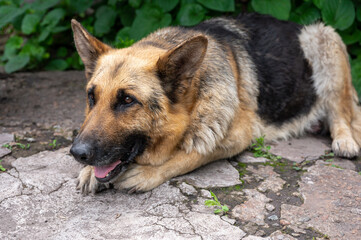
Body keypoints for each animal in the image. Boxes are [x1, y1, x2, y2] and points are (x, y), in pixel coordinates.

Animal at [69, 13, 360, 194]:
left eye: (127, 100)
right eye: (91, 97)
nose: (77, 153)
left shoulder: (238, 135)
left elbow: (190, 154)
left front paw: (147, 173)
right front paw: (89, 172)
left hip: (324, 40)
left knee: (340, 112)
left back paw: (344, 140)